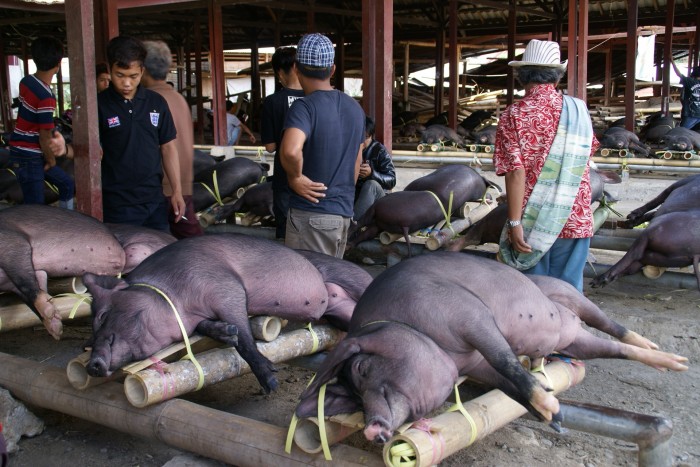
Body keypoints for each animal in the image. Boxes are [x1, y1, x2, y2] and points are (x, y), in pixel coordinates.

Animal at [0, 206, 124, 340]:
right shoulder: (13, 283)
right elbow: (33, 292)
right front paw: (56, 331)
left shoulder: (12, 242)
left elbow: (26, 284)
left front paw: (50, 315)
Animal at [80, 233, 370, 392]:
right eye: (90, 336)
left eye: (102, 316)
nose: (93, 365)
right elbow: (213, 329)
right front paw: (227, 332)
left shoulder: (224, 286)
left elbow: (245, 337)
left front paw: (271, 382)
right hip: (340, 312)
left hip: (355, 279)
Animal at [296, 252, 688, 442]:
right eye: (354, 398)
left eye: (362, 369)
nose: (371, 430)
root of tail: (570, 326)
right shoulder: (475, 365)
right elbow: (507, 386)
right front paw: (554, 418)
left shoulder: (470, 315)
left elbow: (505, 360)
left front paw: (551, 407)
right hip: (577, 342)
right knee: (613, 347)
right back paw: (674, 363)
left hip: (576, 297)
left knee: (616, 328)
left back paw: (673, 359)